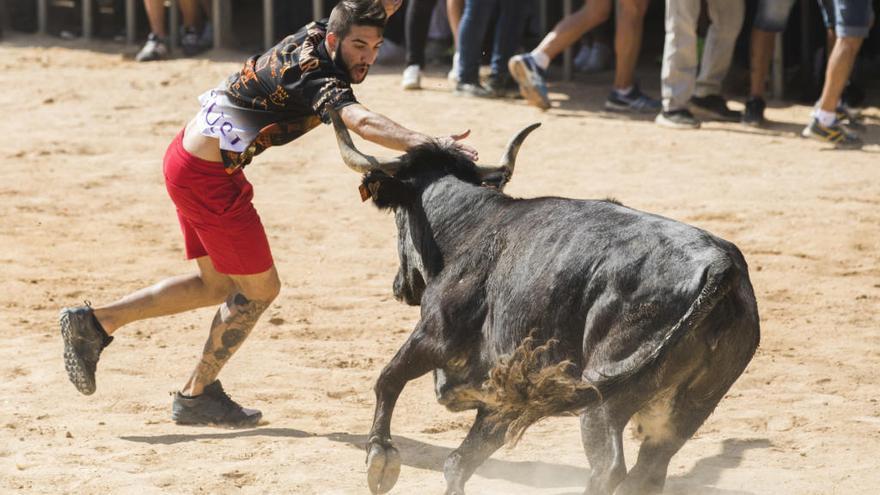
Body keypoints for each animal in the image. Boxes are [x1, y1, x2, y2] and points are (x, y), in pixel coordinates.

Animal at [330, 112, 756, 495]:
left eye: (398, 217)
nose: (399, 286)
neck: (473, 225)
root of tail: (721, 264)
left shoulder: (434, 336)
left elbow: (388, 379)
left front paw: (380, 458)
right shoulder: (505, 394)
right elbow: (459, 461)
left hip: (605, 399)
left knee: (609, 468)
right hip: (687, 410)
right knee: (650, 470)